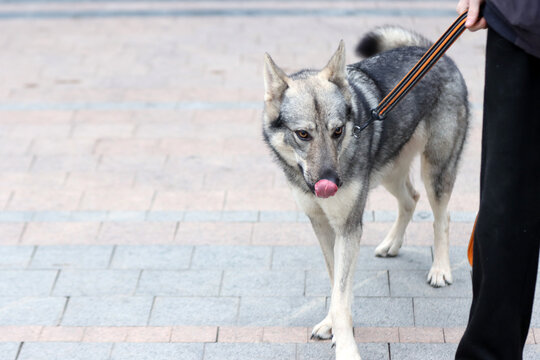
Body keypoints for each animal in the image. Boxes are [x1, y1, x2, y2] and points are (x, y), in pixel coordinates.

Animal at [262, 26, 468, 358]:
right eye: (303, 134)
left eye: (337, 131)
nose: (331, 182)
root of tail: (430, 50)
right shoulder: (323, 226)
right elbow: (336, 285)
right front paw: (331, 325)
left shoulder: (348, 227)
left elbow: (341, 295)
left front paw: (346, 347)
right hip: (388, 172)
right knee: (410, 200)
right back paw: (391, 244)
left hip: (435, 171)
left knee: (442, 218)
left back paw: (440, 270)